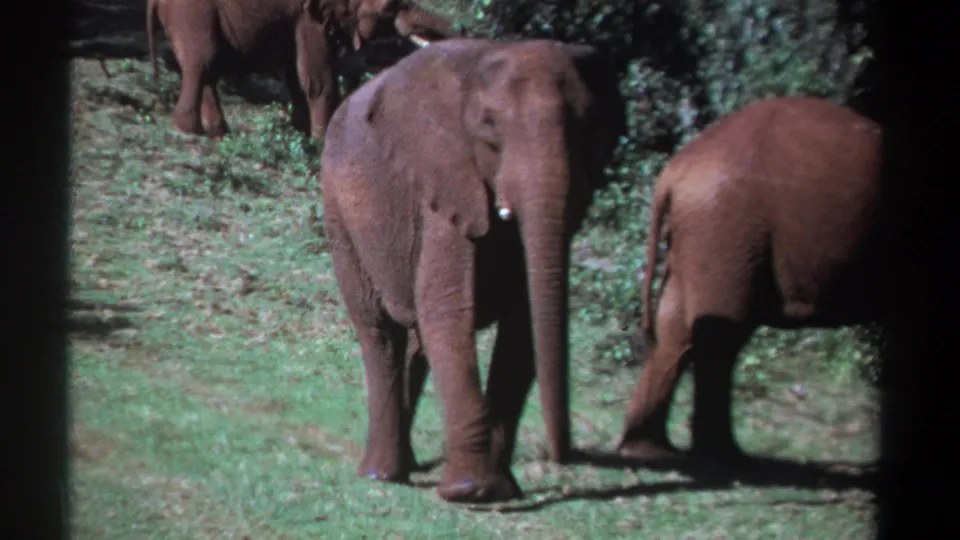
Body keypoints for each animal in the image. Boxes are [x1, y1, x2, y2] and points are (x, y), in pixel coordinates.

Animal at [145, 0, 462, 139]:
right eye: (389, 7)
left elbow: (297, 76)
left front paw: (302, 134)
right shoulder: (309, 16)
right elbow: (317, 77)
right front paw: (320, 142)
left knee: (207, 69)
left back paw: (217, 132)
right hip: (191, 13)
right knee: (201, 64)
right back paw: (187, 131)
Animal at [318, 38, 626, 503]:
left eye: (588, 125)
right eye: (489, 125)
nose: (563, 456)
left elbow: (522, 324)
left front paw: (499, 490)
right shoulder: (446, 183)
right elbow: (446, 308)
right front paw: (470, 492)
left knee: (415, 341)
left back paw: (406, 466)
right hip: (341, 214)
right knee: (379, 330)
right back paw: (381, 475)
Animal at [616, 96, 888, 462]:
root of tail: (676, 170)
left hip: (708, 233)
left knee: (682, 329)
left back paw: (656, 451)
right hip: (726, 227)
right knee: (719, 336)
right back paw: (715, 457)